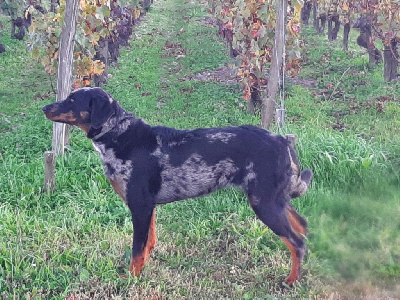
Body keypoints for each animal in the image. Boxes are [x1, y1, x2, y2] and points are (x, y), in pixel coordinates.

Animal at [43, 87, 312, 286]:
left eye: (72, 99)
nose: (44, 107)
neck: (119, 135)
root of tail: (282, 141)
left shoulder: (139, 206)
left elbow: (137, 249)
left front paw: (131, 278)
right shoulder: (148, 207)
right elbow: (148, 243)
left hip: (264, 203)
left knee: (297, 243)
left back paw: (291, 280)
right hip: (276, 200)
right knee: (303, 227)